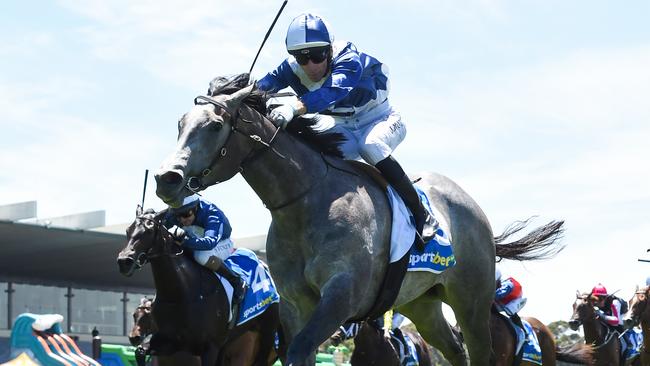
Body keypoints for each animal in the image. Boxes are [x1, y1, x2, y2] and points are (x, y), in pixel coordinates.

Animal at [117, 207, 280, 364]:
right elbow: (140, 352)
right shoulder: (170, 341)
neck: (181, 293)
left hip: (267, 331)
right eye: (128, 230)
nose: (124, 261)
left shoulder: (210, 347)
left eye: (149, 230)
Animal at [154, 73, 564, 364]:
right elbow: (297, 351)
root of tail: (472, 207)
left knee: (479, 352)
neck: (306, 203)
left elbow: (301, 350)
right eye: (180, 123)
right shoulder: (294, 303)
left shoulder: (341, 295)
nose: (166, 179)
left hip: (472, 301)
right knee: (454, 351)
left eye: (214, 125)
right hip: (423, 303)